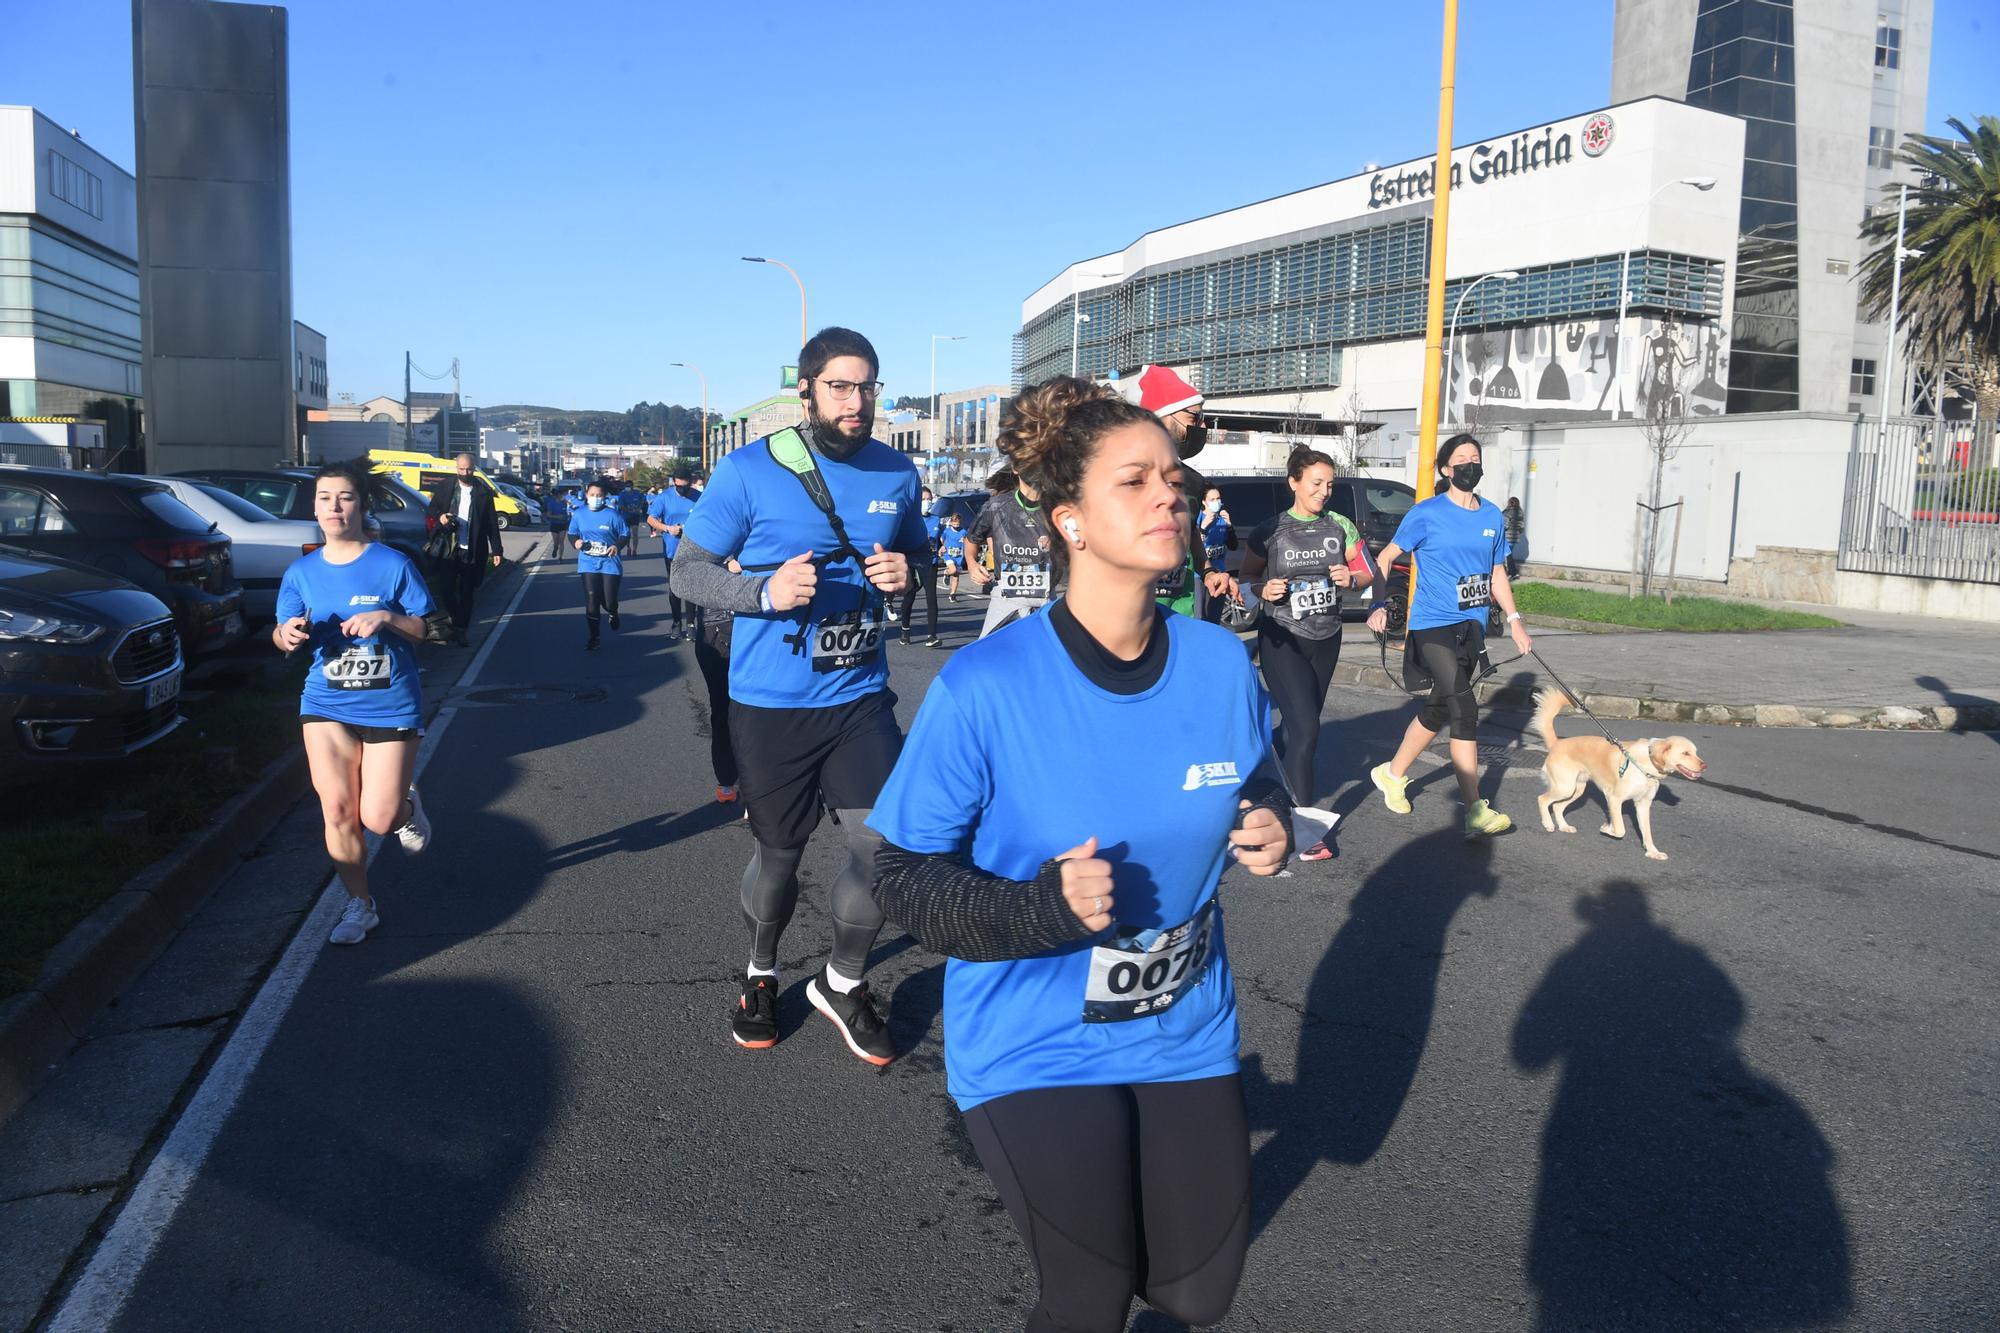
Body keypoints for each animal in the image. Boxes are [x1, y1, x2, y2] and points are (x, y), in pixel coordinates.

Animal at [1528, 684, 1704, 860]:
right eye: (1685, 753)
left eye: (1696, 752)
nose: (1704, 766)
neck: (1646, 764)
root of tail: (1557, 743)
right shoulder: (1614, 799)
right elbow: (1620, 829)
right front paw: (1607, 828)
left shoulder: (1643, 804)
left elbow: (1647, 833)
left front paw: (1653, 852)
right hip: (1564, 787)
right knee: (1542, 799)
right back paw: (1548, 823)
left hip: (1576, 790)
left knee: (1557, 807)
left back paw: (1564, 826)